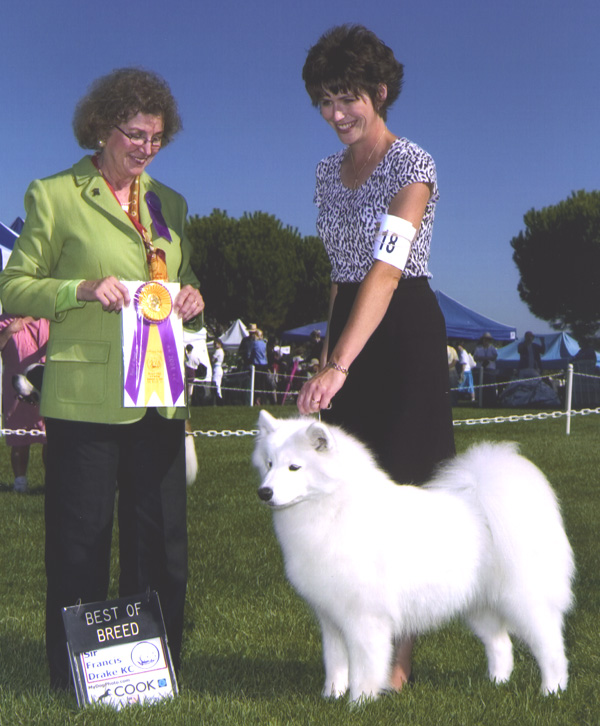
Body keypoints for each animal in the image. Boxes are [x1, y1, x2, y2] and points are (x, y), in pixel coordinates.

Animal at [251, 416, 576, 704]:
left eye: (294, 467)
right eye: (269, 464)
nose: (264, 492)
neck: (334, 509)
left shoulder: (365, 618)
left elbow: (365, 667)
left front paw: (359, 703)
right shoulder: (330, 618)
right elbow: (335, 662)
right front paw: (331, 696)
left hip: (523, 601)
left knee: (551, 646)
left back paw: (552, 690)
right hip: (477, 605)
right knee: (500, 643)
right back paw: (496, 682)